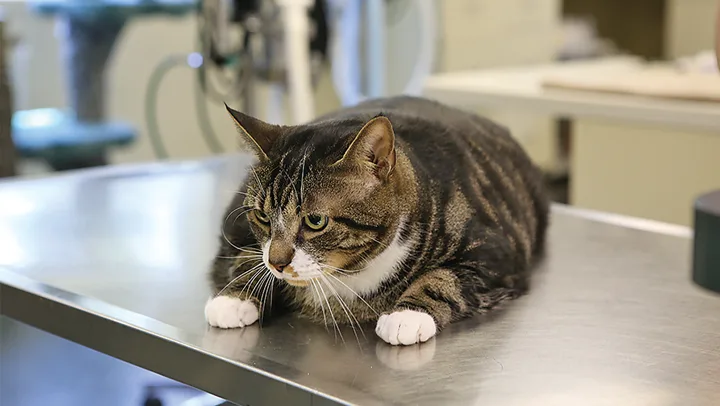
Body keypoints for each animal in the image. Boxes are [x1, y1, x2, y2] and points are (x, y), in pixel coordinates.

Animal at [205, 96, 549, 346]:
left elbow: (443, 279)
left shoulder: (495, 254)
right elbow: (248, 259)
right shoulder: (243, 237)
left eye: (315, 221)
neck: (349, 271)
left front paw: (407, 316)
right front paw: (233, 298)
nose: (278, 264)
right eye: (262, 216)